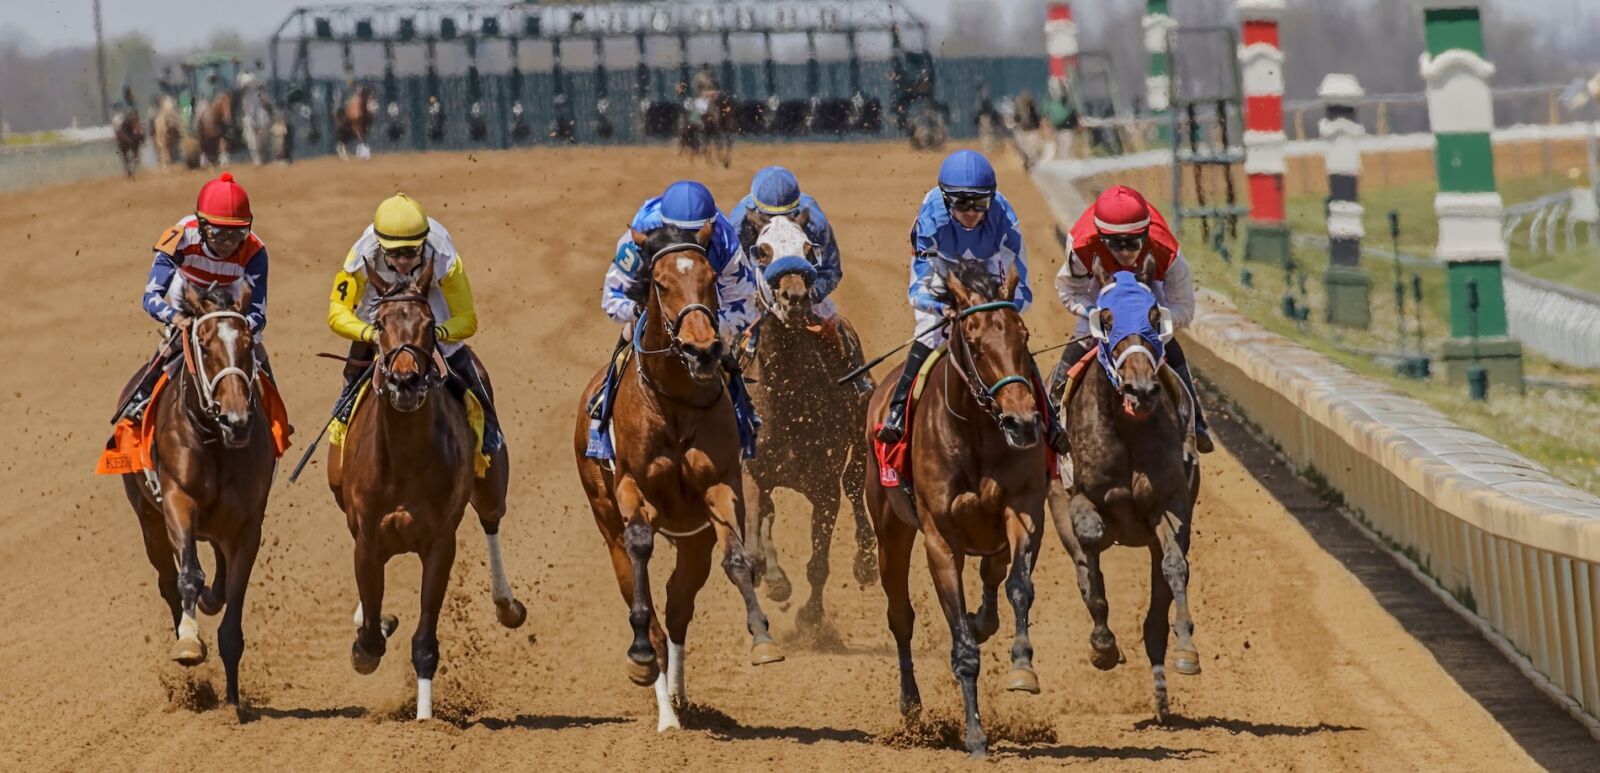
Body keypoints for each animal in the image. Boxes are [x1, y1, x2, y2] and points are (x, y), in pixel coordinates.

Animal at [576, 222, 787, 732]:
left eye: (710, 277)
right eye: (660, 282)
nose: (702, 350)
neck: (672, 400)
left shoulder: (721, 486)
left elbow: (737, 559)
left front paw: (762, 638)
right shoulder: (632, 489)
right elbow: (640, 551)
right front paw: (640, 658)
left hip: (694, 541)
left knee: (677, 606)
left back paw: (677, 699)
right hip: (604, 518)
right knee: (646, 604)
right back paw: (665, 712)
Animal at [742, 211, 883, 630]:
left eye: (808, 249)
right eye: (763, 250)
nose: (795, 298)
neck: (789, 397)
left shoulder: (824, 487)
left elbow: (818, 563)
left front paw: (811, 616)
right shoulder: (752, 471)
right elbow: (756, 530)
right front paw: (769, 576)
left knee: (855, 485)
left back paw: (866, 561)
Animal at [864, 262, 1049, 758]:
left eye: (1024, 337)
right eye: (976, 343)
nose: (1023, 423)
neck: (976, 430)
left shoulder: (1024, 508)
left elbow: (1019, 586)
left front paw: (1022, 667)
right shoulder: (939, 539)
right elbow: (962, 647)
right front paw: (975, 734)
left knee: (992, 576)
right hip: (888, 530)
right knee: (900, 616)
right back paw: (911, 708)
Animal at [1049, 257, 1203, 723]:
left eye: (1154, 316)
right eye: (1106, 317)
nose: (1141, 389)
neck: (1128, 428)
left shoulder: (1170, 504)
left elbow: (1175, 566)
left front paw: (1187, 649)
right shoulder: (1076, 496)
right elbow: (1091, 545)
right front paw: (1102, 645)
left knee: (1154, 615)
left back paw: (1161, 695)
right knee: (1085, 566)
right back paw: (1103, 643)